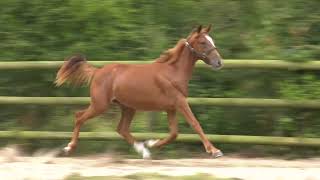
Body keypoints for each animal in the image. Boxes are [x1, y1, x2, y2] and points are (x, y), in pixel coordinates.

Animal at [55, 25, 224, 159]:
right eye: (203, 42)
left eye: (213, 40)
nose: (219, 62)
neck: (172, 72)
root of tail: (97, 71)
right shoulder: (180, 103)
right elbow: (195, 124)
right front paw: (214, 151)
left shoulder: (171, 108)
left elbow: (174, 133)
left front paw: (153, 144)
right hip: (100, 105)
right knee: (79, 117)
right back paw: (68, 148)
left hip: (128, 107)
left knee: (122, 129)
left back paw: (145, 151)